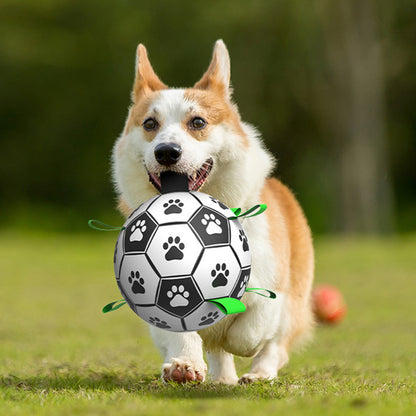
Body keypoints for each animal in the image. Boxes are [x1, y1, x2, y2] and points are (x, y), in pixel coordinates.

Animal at [112, 39, 314, 384]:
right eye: (150, 124)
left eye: (198, 122)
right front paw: (184, 365)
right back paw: (223, 378)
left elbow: (251, 327)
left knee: (275, 346)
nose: (167, 152)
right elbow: (183, 333)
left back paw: (258, 374)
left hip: (296, 299)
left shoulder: (274, 287)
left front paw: (240, 342)